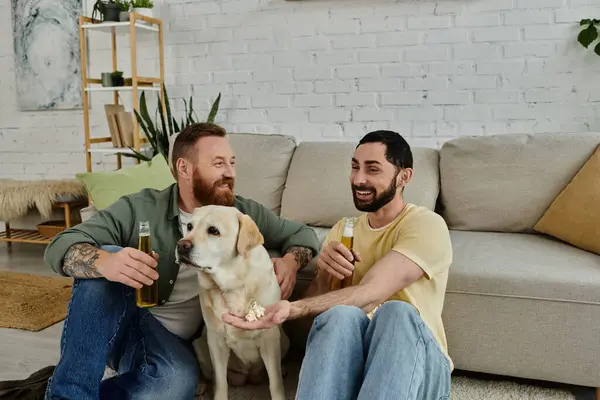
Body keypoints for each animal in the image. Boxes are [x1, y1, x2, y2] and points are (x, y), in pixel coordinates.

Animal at [175, 206, 284, 400]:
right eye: (189, 226)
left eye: (213, 230)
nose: (181, 245)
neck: (233, 286)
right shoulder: (216, 341)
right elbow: (220, 381)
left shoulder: (270, 338)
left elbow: (275, 382)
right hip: (200, 344)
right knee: (210, 375)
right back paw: (200, 386)